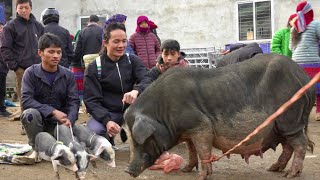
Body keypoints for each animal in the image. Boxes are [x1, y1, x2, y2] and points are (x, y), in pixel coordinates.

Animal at [123, 53, 316, 180]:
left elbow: (202, 150)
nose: (128, 170)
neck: (163, 112)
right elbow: (191, 150)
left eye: (140, 140)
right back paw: (274, 169)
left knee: (300, 143)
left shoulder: (200, 125)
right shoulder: (188, 132)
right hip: (281, 126)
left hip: (290, 118)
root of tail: (304, 78)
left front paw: (201, 177)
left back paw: (289, 175)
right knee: (288, 146)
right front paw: (186, 170)